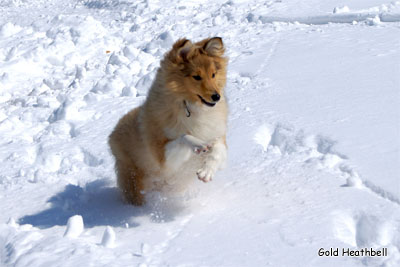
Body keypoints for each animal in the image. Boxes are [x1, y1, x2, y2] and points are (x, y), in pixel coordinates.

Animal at [108, 36, 228, 206]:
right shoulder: (162, 157)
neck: (190, 106)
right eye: (197, 76)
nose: (216, 97)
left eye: (213, 74)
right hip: (133, 176)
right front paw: (199, 144)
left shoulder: (217, 134)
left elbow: (218, 151)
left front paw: (206, 172)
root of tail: (112, 133)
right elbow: (183, 137)